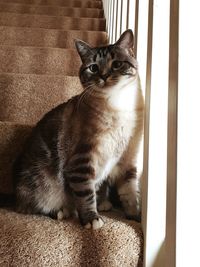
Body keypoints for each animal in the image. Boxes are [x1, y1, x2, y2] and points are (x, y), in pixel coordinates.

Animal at [12, 29, 144, 230]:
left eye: (117, 64)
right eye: (93, 68)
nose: (104, 76)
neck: (117, 105)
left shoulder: (127, 159)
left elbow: (129, 193)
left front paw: (135, 217)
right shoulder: (81, 162)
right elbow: (86, 195)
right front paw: (91, 220)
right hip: (41, 185)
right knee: (31, 206)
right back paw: (61, 211)